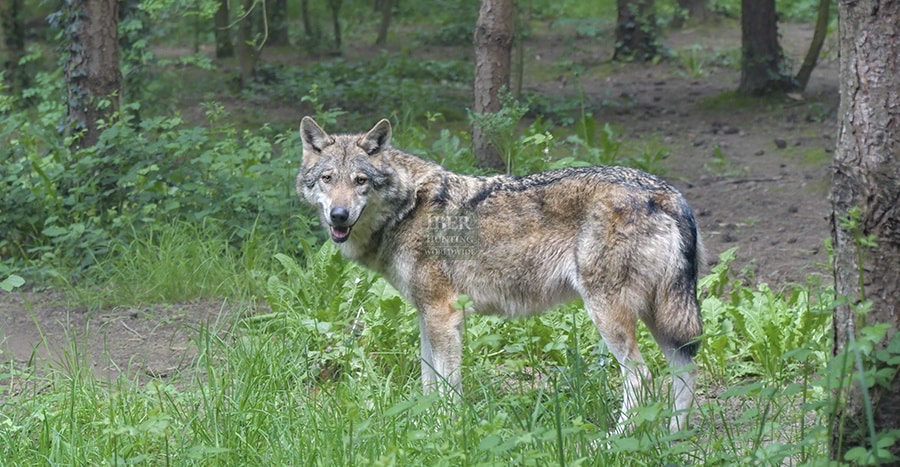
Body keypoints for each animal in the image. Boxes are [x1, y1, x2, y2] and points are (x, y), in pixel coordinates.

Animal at [296, 117, 704, 432]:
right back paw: (673, 437)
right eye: (327, 178)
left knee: (642, 377)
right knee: (684, 370)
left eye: (360, 181)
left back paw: (611, 442)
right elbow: (429, 384)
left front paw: (445, 431)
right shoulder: (427, 315)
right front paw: (422, 428)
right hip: (660, 316)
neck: (408, 208)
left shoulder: (444, 314)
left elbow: (447, 387)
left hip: (610, 314)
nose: (338, 215)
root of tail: (668, 193)